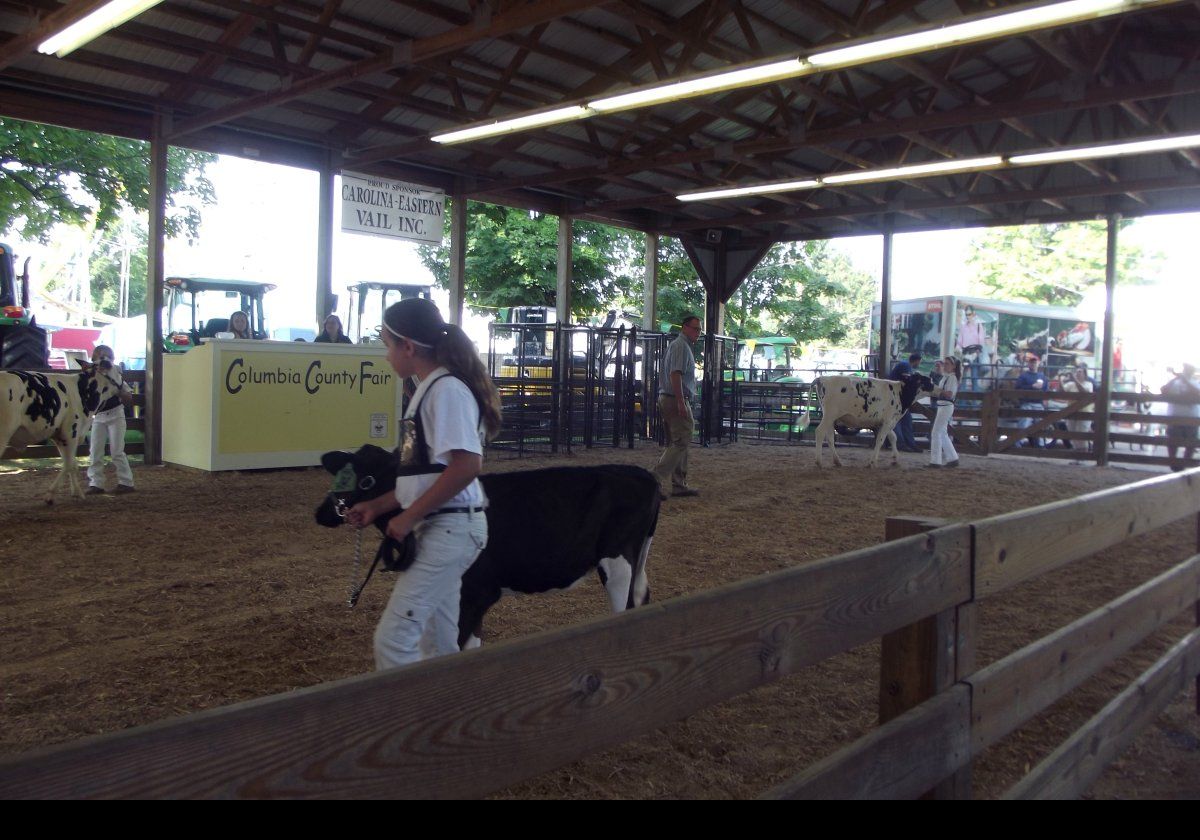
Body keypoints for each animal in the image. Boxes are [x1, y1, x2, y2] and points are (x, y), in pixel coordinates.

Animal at [0, 360, 123, 501]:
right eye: (120, 372)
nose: (126, 387)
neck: (82, 391)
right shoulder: (70, 433)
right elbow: (69, 464)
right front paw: (50, 495)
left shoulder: (60, 436)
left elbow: (72, 464)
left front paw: (76, 492)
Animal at [314, 446, 662, 648]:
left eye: (362, 477)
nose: (322, 512)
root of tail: (640, 473)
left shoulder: (475, 593)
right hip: (639, 560)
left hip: (618, 562)